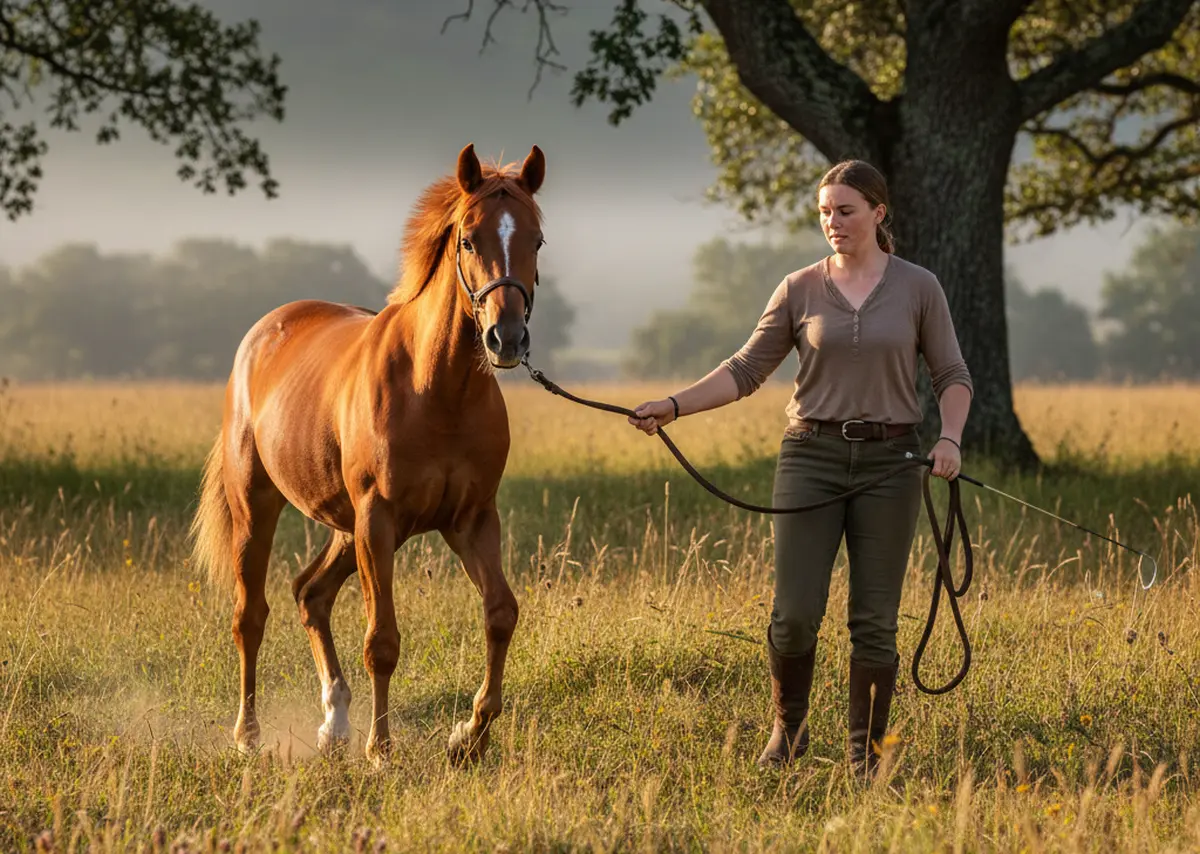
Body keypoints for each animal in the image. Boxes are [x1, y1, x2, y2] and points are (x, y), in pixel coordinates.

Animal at [189, 143, 547, 765]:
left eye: (537, 240)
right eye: (468, 239)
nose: (506, 339)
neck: (438, 389)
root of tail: (262, 334)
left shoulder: (470, 520)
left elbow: (501, 614)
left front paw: (470, 735)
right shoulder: (378, 519)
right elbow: (382, 640)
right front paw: (381, 750)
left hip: (346, 528)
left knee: (310, 594)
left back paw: (334, 723)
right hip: (261, 509)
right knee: (250, 616)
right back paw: (248, 735)